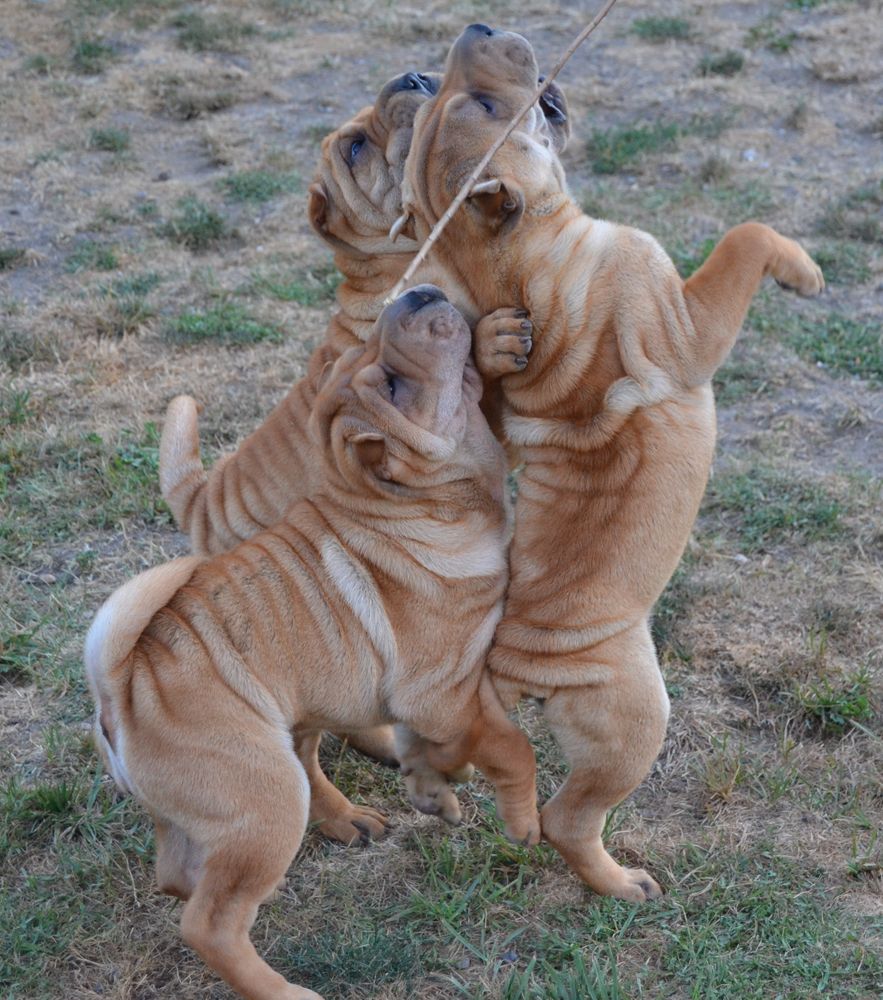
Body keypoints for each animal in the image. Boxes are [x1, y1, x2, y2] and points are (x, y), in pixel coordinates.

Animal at [86, 286, 540, 1000]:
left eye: (376, 353)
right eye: (392, 384)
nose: (418, 291)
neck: (412, 500)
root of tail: (121, 687)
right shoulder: (443, 692)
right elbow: (513, 748)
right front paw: (522, 824)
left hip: (239, 774)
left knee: (182, 872)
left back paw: (339, 825)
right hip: (267, 796)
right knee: (208, 922)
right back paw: (283, 989)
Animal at [402, 23, 828, 904]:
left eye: (458, 99)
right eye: (488, 105)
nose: (475, 29)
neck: (516, 258)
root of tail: (513, 668)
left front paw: (495, 348)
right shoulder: (685, 323)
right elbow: (743, 236)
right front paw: (801, 269)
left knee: (443, 759)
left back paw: (433, 796)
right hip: (635, 721)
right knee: (568, 818)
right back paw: (622, 883)